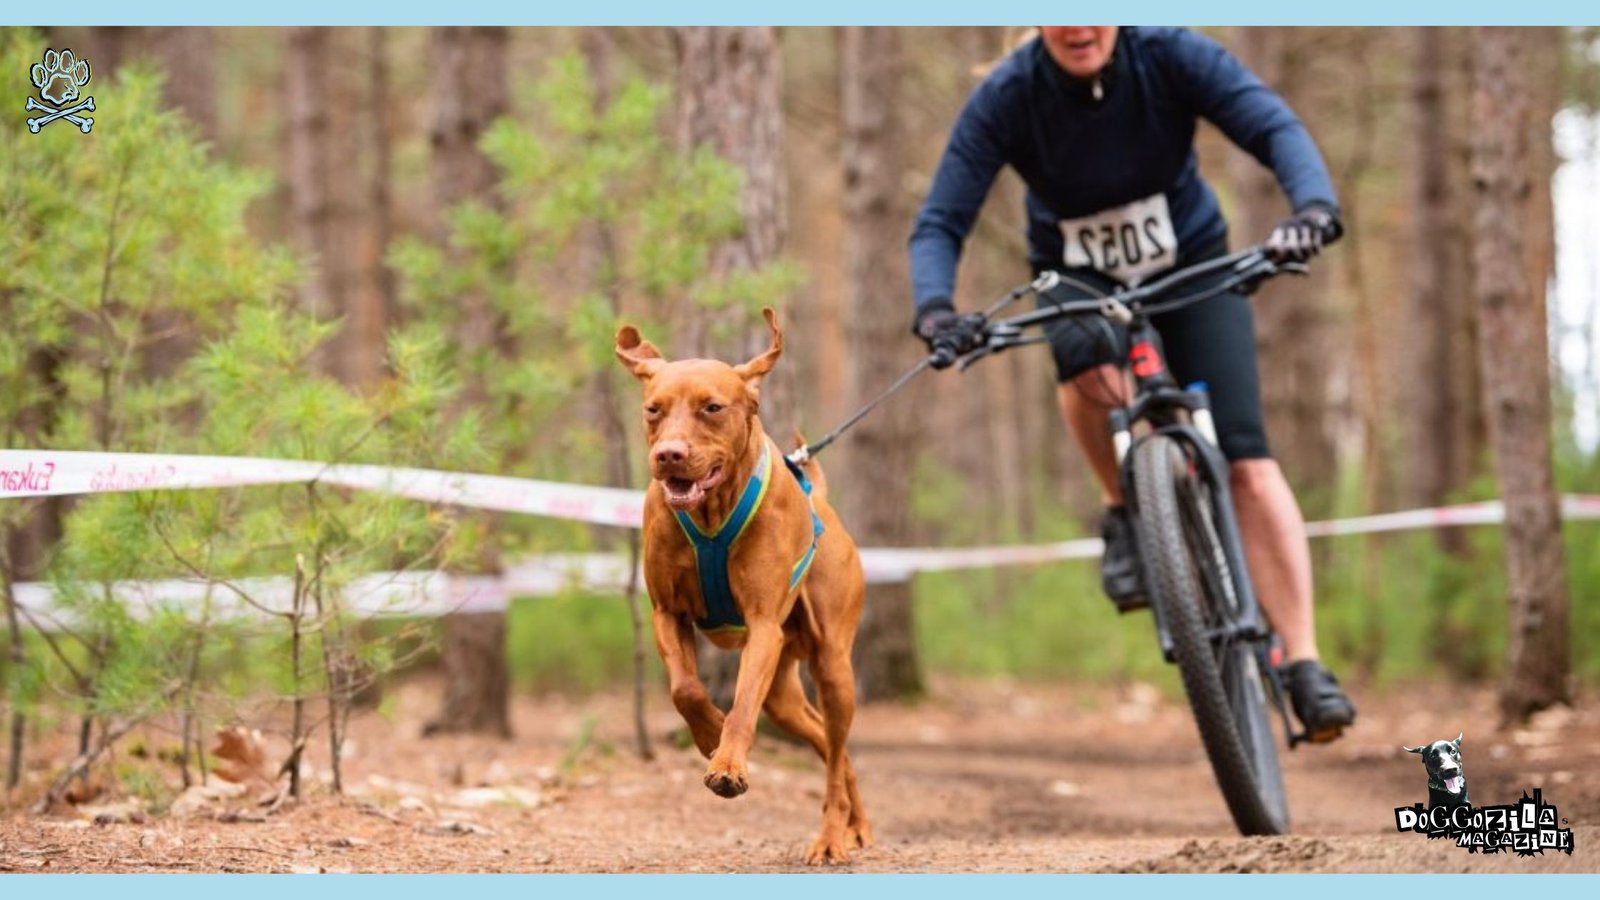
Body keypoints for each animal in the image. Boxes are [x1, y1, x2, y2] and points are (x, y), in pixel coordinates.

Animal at [614, 307, 876, 864]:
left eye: (712, 407)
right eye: (653, 410)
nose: (669, 455)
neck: (710, 513)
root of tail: (822, 501)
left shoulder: (762, 627)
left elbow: (739, 706)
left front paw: (728, 762)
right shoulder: (667, 613)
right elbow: (686, 690)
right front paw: (710, 735)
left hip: (832, 665)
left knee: (836, 750)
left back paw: (832, 834)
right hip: (784, 694)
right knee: (829, 745)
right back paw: (855, 822)